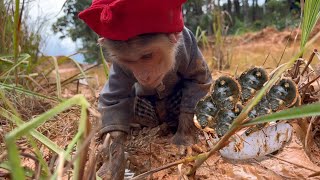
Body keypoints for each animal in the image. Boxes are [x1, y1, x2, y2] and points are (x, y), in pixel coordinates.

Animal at [78, 0, 212, 179]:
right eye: (128, 61)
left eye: (147, 56)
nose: (143, 75)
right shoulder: (120, 66)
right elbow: (113, 99)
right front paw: (113, 159)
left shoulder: (189, 46)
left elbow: (198, 81)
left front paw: (184, 137)